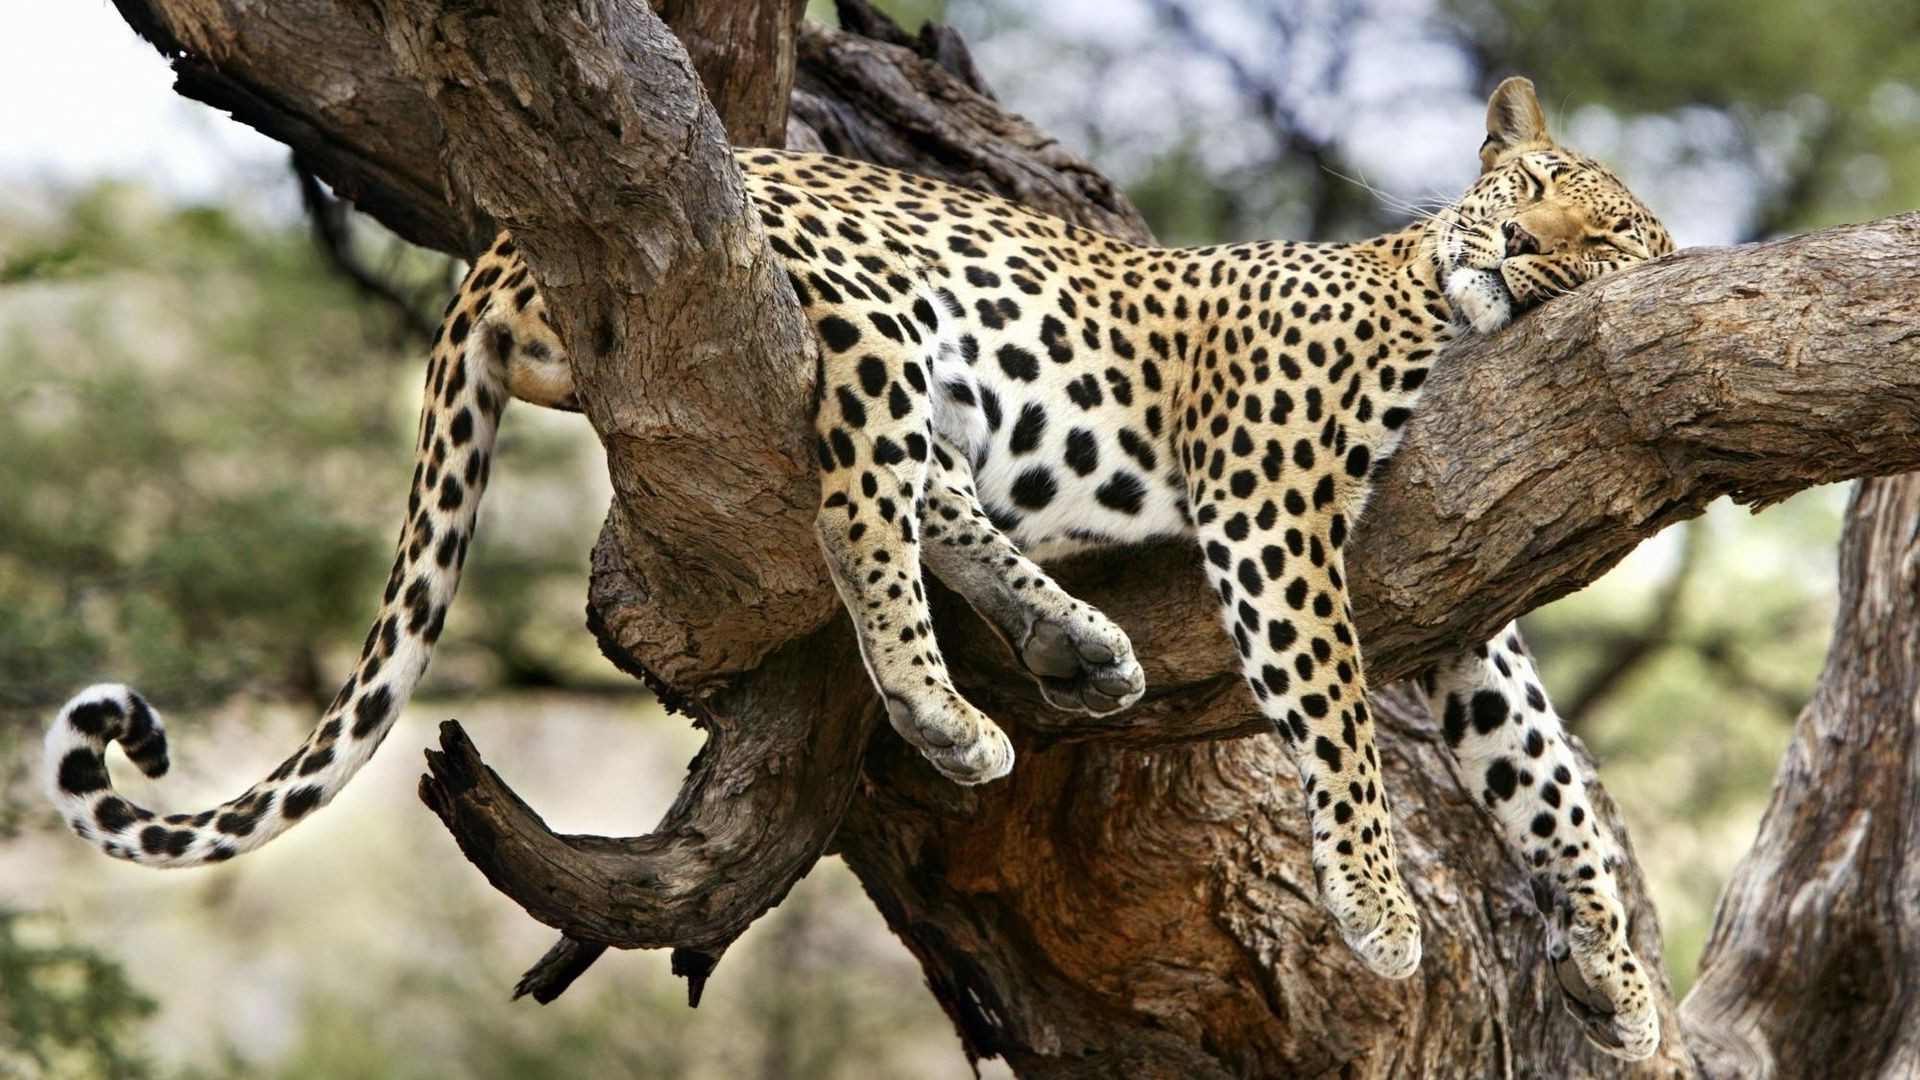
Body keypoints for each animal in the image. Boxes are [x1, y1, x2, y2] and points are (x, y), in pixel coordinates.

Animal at [41, 79, 1666, 1053]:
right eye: (1529, 181)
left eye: (1606, 239)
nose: (1518, 244)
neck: (1435, 302)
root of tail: (499, 243)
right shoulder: (1271, 504)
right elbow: (1334, 716)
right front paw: (1383, 910)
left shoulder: (1467, 608)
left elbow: (1546, 778)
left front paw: (1626, 984)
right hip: (877, 311)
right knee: (854, 507)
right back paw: (949, 711)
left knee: (927, 489)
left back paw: (1076, 646)